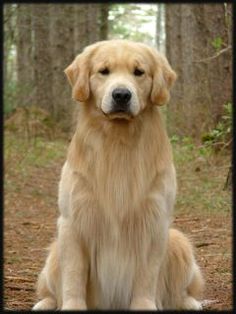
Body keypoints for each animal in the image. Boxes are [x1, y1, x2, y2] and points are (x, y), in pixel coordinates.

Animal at [32, 38, 204, 310]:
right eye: (104, 71)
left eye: (139, 72)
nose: (121, 94)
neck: (118, 141)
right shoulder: (73, 222)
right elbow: (73, 276)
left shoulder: (154, 221)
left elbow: (147, 275)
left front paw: (144, 306)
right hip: (54, 253)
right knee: (51, 289)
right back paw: (45, 303)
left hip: (179, 241)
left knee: (180, 291)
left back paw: (188, 302)